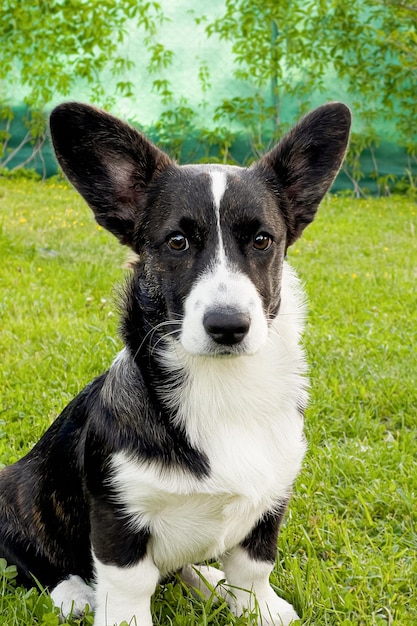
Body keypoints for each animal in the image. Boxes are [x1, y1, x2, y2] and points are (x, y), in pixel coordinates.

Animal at [0, 103, 350, 624]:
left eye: (263, 240)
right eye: (178, 241)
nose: (228, 325)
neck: (224, 387)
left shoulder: (272, 496)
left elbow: (254, 564)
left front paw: (259, 608)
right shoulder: (119, 514)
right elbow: (128, 583)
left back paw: (206, 579)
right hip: (14, 491)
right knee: (34, 560)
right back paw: (73, 593)